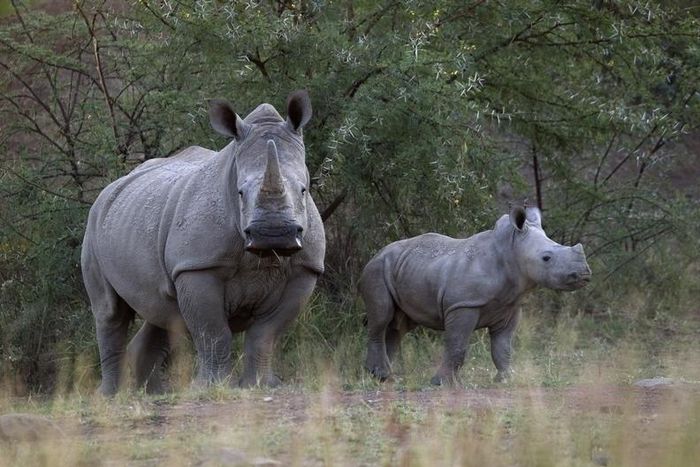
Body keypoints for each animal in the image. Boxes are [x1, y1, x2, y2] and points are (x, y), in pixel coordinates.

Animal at [81, 90, 325, 395]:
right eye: (240, 193)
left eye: (304, 190)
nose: (273, 234)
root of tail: (111, 187)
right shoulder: (197, 266)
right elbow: (213, 331)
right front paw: (210, 387)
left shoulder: (304, 270)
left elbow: (265, 334)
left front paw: (260, 385)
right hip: (94, 223)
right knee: (110, 311)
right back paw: (110, 395)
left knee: (163, 310)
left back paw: (154, 394)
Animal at [359, 207, 591, 385]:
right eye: (546, 258)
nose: (584, 274)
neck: (510, 250)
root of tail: (377, 253)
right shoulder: (463, 305)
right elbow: (457, 345)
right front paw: (442, 383)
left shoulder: (510, 307)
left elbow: (503, 348)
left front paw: (506, 379)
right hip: (376, 270)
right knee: (382, 317)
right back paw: (382, 376)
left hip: (403, 268)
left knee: (399, 325)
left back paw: (387, 377)